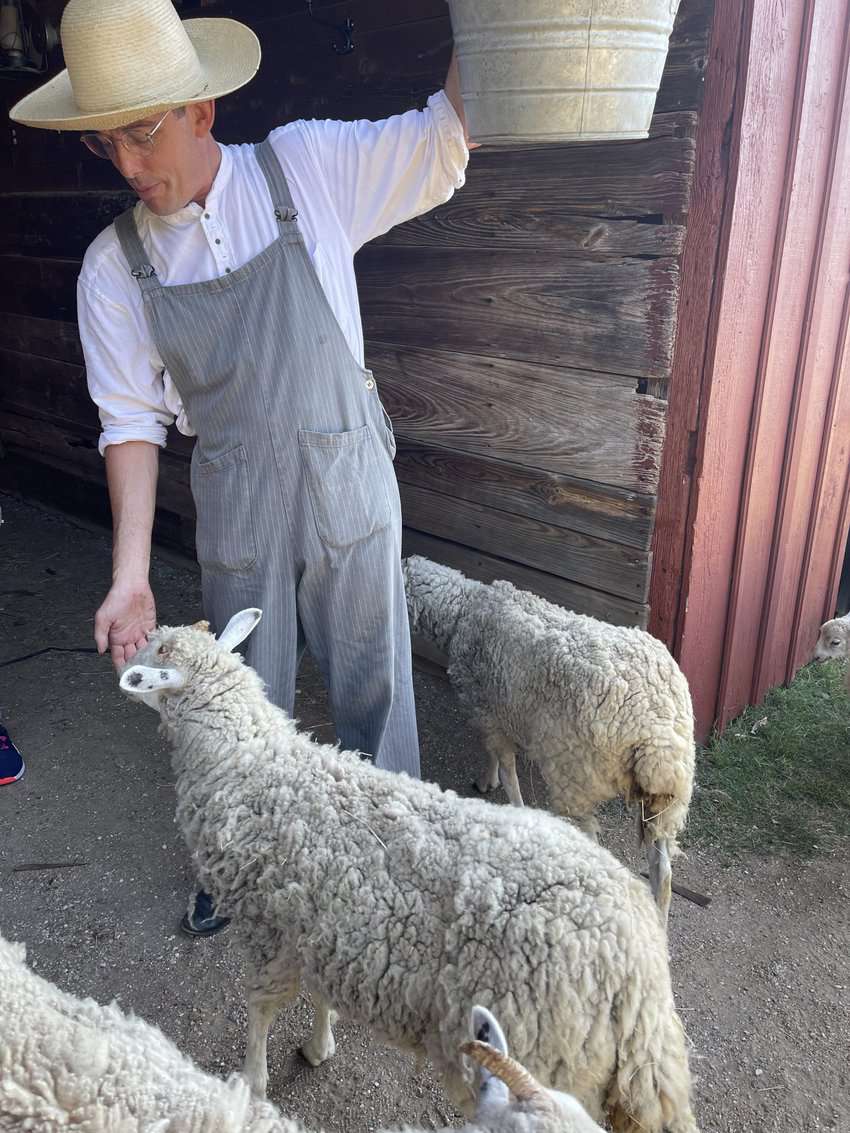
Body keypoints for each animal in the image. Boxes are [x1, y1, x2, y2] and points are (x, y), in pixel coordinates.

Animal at [121, 611, 707, 1133]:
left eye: (158, 652)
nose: (122, 662)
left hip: (539, 1053)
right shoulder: (322, 930)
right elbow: (320, 995)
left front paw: (253, 1080)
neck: (252, 765)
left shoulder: (270, 933)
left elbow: (261, 1011)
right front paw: (320, 1044)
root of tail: (639, 980)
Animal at [403, 552, 693, 924]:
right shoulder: (500, 711)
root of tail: (654, 736)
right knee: (663, 873)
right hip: (669, 801)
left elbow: (504, 765)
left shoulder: (488, 712)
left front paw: (494, 786)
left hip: (576, 777)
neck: (463, 611)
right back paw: (660, 917)